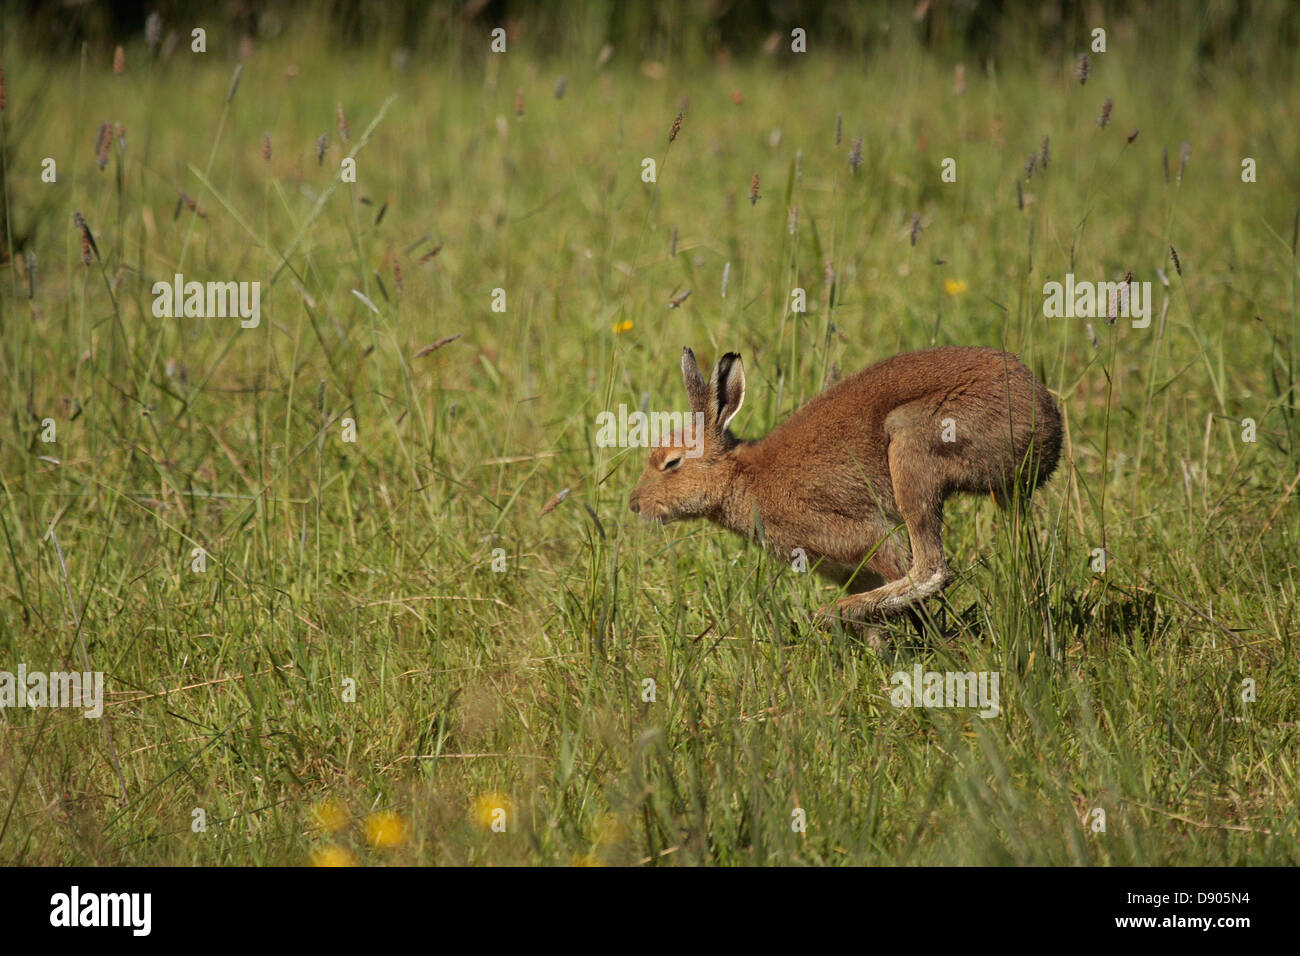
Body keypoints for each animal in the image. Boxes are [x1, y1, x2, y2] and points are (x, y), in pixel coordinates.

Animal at [628, 345, 1062, 628]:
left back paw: (831, 613)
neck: (741, 478)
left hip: (912, 446)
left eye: (672, 463)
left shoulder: (861, 536)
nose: (635, 504)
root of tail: (1045, 422)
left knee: (932, 568)